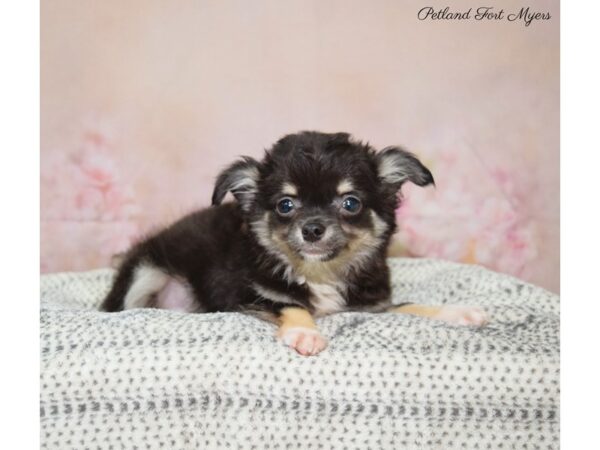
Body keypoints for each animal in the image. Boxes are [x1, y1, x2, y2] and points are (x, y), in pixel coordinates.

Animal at [102, 130, 488, 356]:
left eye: (351, 203)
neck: (320, 274)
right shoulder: (244, 296)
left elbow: (409, 305)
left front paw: (457, 312)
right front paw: (306, 334)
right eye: (285, 205)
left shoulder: (369, 306)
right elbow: (291, 304)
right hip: (145, 271)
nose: (313, 229)